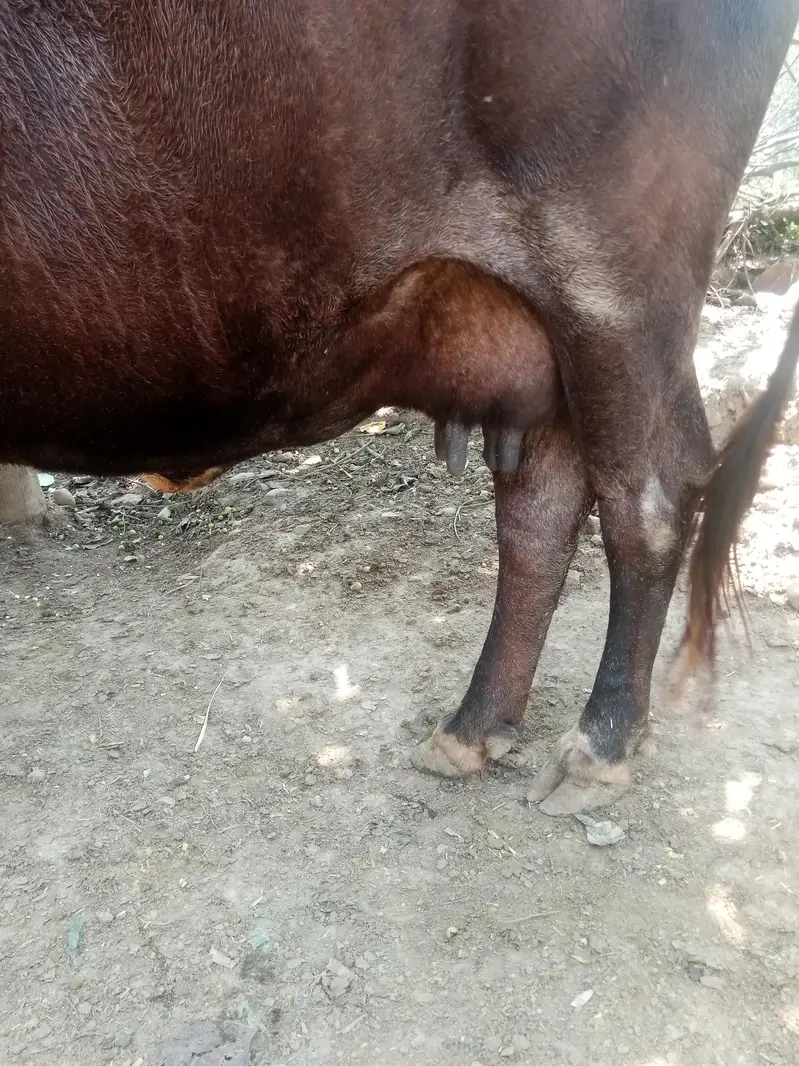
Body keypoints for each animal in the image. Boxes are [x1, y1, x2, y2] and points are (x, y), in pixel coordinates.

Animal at [1, 1, 798, 815]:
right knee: (541, 509)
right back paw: (470, 731)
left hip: (618, 288)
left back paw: (596, 749)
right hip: (552, 336)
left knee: (650, 499)